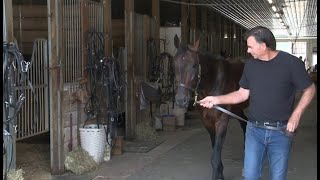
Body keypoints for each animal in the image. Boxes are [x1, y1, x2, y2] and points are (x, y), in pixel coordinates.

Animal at [174, 34, 249, 179]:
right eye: (174, 64)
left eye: (194, 65)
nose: (181, 100)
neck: (213, 83)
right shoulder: (207, 122)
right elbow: (215, 150)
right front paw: (220, 173)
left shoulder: (222, 121)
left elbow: (215, 156)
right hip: (237, 109)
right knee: (245, 124)